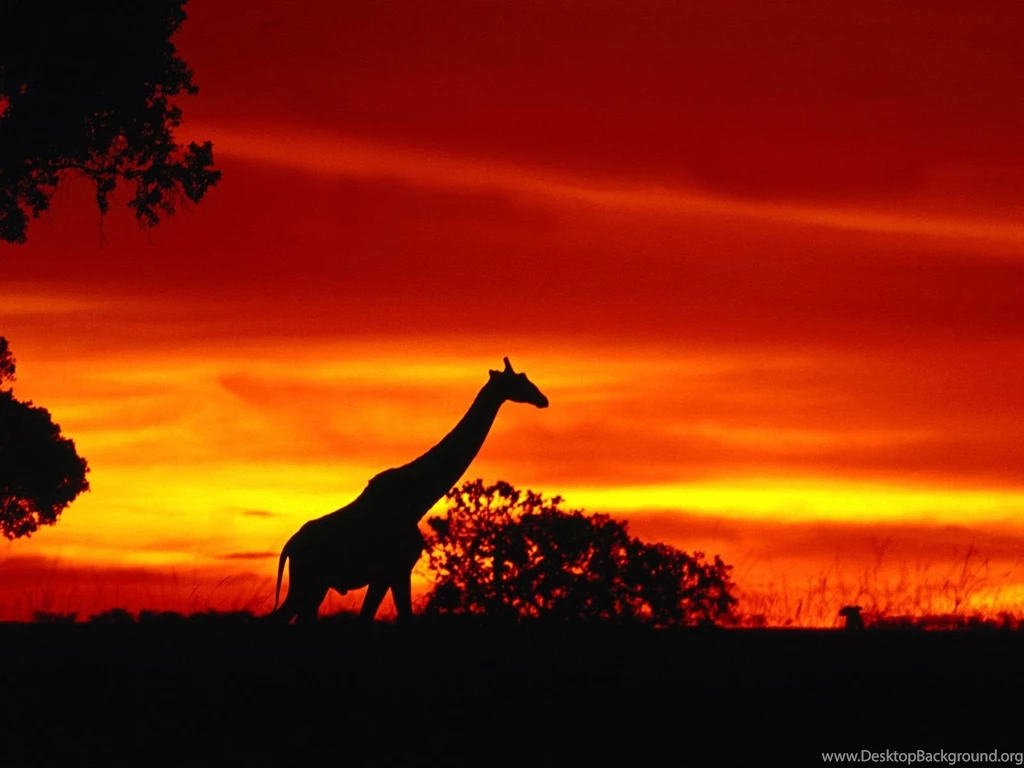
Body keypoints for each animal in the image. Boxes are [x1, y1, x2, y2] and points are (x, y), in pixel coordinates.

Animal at [270, 357, 549, 624]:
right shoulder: (394, 569)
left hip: (316, 586)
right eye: (519, 380)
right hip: (309, 582)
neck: (417, 499)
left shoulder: (392, 573)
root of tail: (290, 545)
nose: (542, 399)